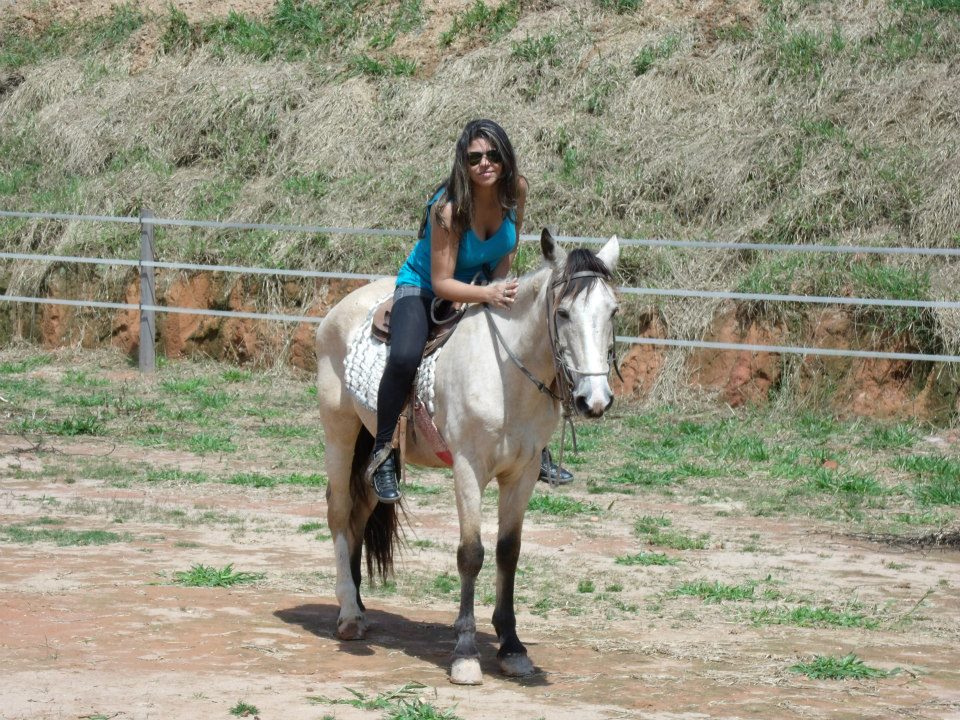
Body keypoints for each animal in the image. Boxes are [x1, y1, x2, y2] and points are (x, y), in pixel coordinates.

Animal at [314, 228, 620, 685]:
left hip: (372, 446)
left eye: (613, 311)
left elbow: (508, 551)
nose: (594, 400)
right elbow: (471, 554)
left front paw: (512, 647)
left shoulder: (523, 472)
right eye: (563, 312)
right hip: (340, 430)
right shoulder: (468, 468)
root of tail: (338, 309)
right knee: (339, 511)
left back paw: (359, 605)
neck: (505, 373)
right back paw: (349, 614)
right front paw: (465, 653)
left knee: (361, 510)